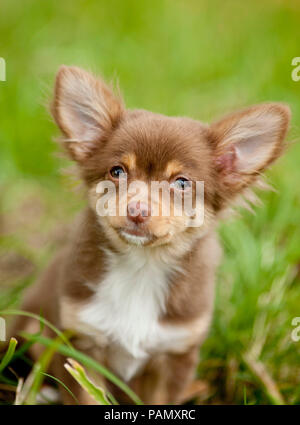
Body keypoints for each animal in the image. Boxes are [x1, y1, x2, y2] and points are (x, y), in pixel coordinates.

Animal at [9, 66, 290, 404]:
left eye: (181, 183)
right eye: (117, 172)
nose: (137, 210)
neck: (142, 265)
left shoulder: (175, 354)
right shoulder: (80, 343)